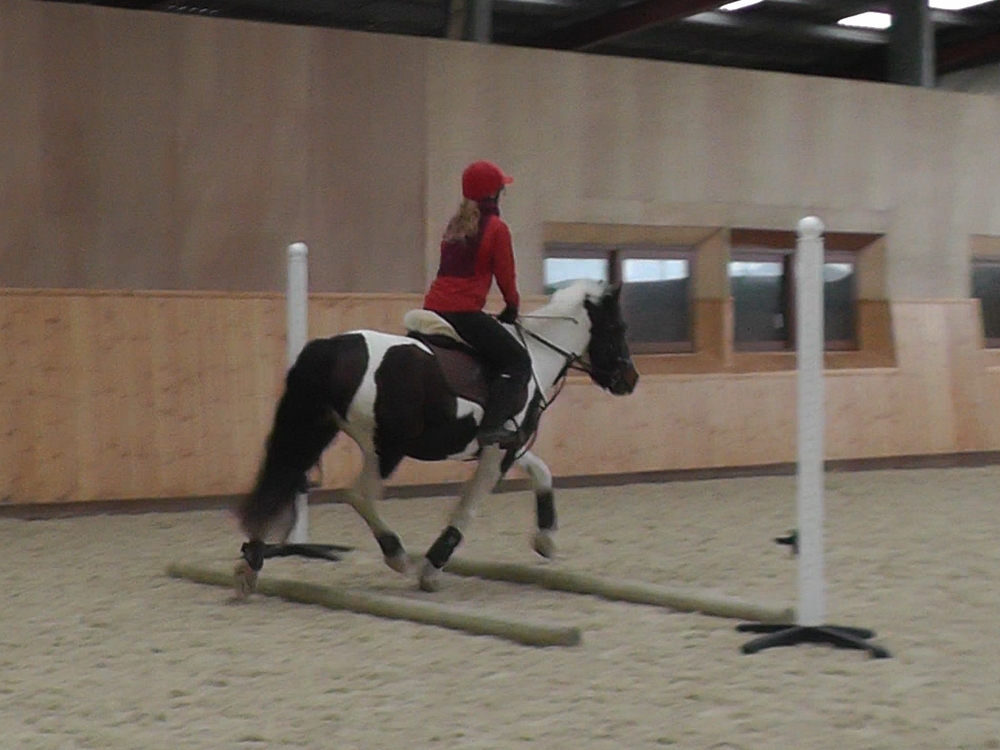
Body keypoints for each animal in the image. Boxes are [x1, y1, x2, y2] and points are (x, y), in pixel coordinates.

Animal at [233, 278, 639, 594]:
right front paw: (432, 567)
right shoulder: (499, 450)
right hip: (385, 448)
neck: (537, 356)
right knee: (357, 494)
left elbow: (542, 472)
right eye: (618, 329)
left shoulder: (505, 443)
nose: (630, 380)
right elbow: (469, 506)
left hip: (314, 429)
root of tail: (331, 347)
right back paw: (398, 556)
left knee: (281, 478)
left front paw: (546, 539)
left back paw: (250, 564)